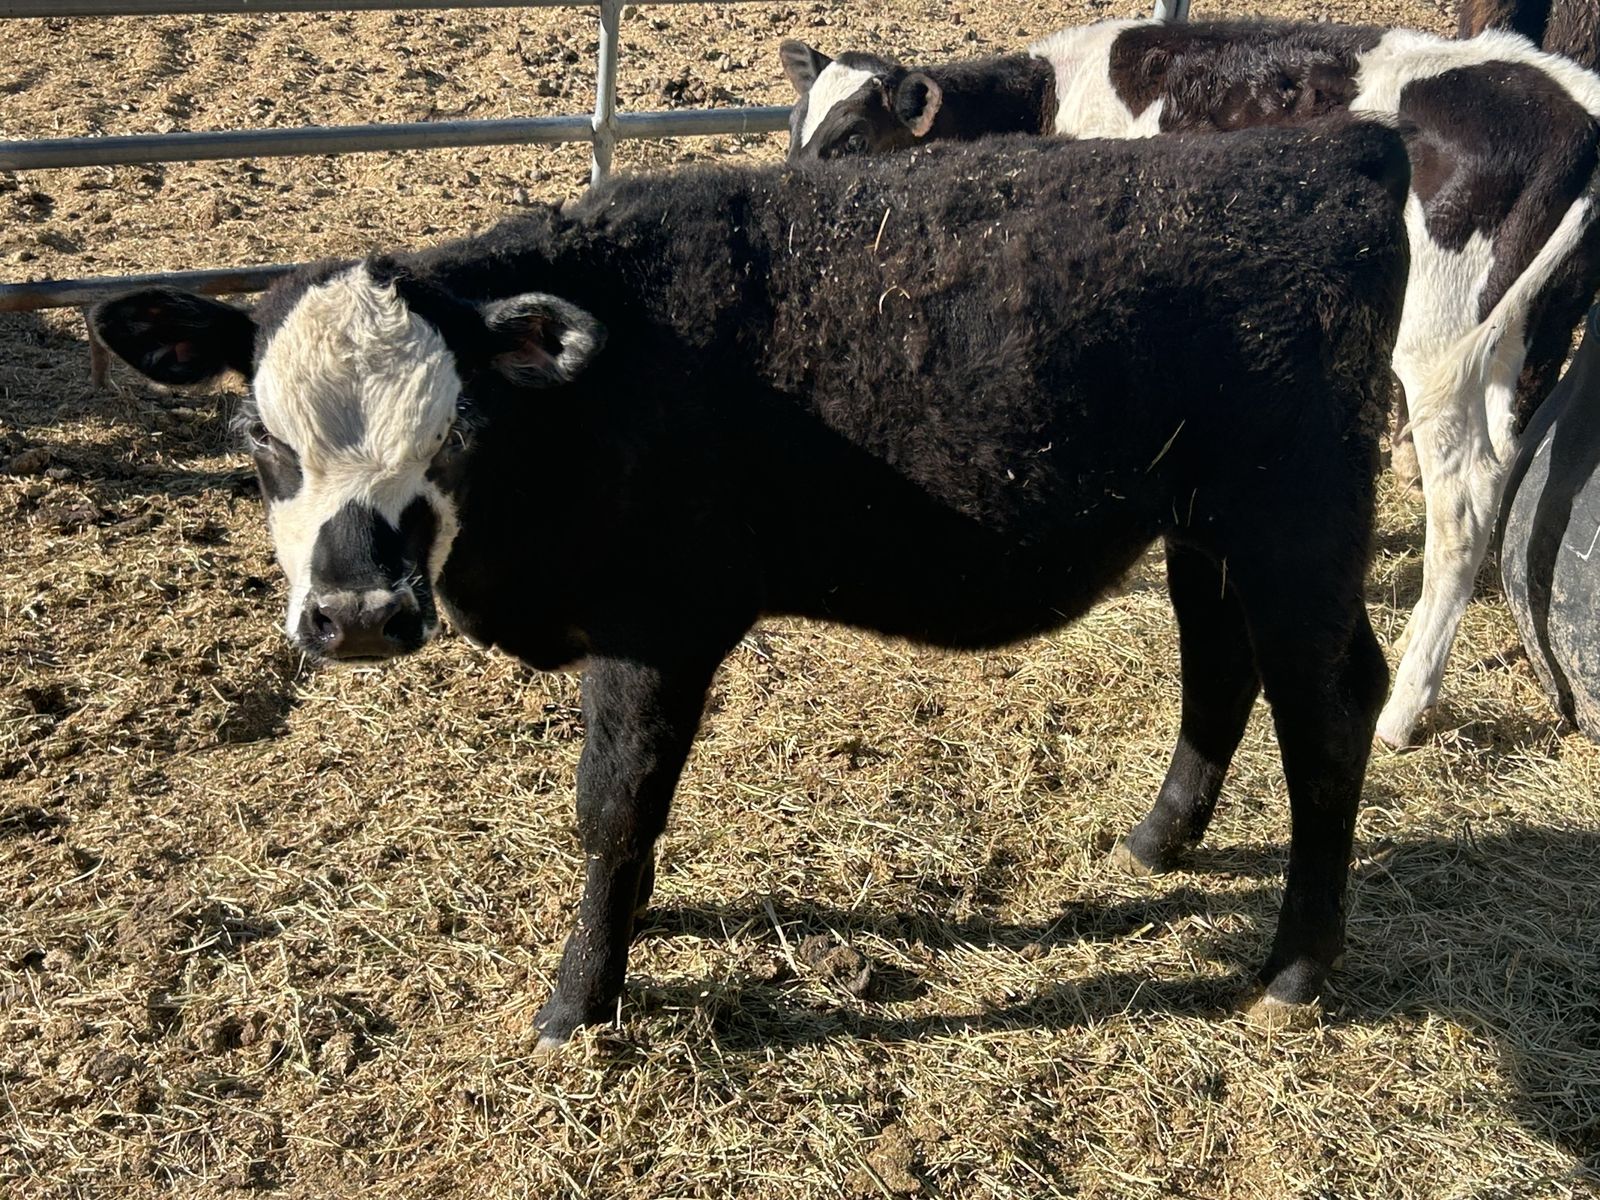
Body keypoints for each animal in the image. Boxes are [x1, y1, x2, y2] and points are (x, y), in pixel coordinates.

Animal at [89, 125, 1411, 1046]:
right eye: (258, 437)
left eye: (455, 431)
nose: (360, 615)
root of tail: (1342, 147)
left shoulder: (656, 630)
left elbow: (613, 805)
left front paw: (580, 1003)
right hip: (1208, 529)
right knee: (1218, 660)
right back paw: (1158, 840)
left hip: (1299, 530)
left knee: (1332, 706)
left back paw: (1296, 968)